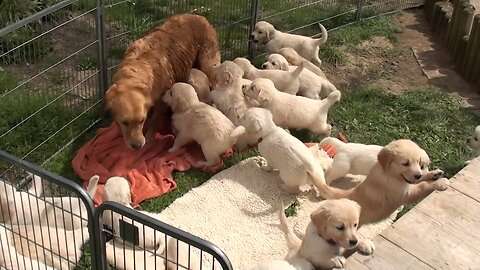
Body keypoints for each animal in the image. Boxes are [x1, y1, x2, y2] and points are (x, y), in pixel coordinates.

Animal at [105, 14, 221, 150]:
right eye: (125, 122)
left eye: (141, 120)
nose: (138, 146)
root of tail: (199, 16)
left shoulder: (161, 98)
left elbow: (155, 118)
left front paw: (150, 135)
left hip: (208, 63)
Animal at [316, 139, 448, 226]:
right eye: (405, 163)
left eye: (420, 164)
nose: (418, 174)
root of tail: (343, 145)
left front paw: (435, 173)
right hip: (342, 167)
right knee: (328, 175)